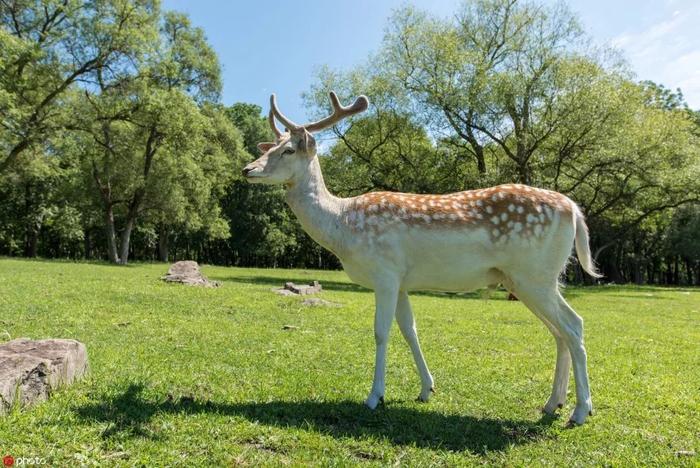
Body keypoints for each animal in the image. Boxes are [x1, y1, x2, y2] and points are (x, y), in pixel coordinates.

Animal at [243, 90, 600, 424]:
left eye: (288, 150)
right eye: (269, 148)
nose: (247, 169)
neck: (343, 226)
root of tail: (573, 209)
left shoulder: (385, 272)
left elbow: (381, 331)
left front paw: (374, 397)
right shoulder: (402, 280)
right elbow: (409, 329)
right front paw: (427, 388)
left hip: (534, 275)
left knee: (574, 325)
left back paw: (580, 411)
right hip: (531, 279)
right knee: (559, 332)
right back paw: (553, 404)